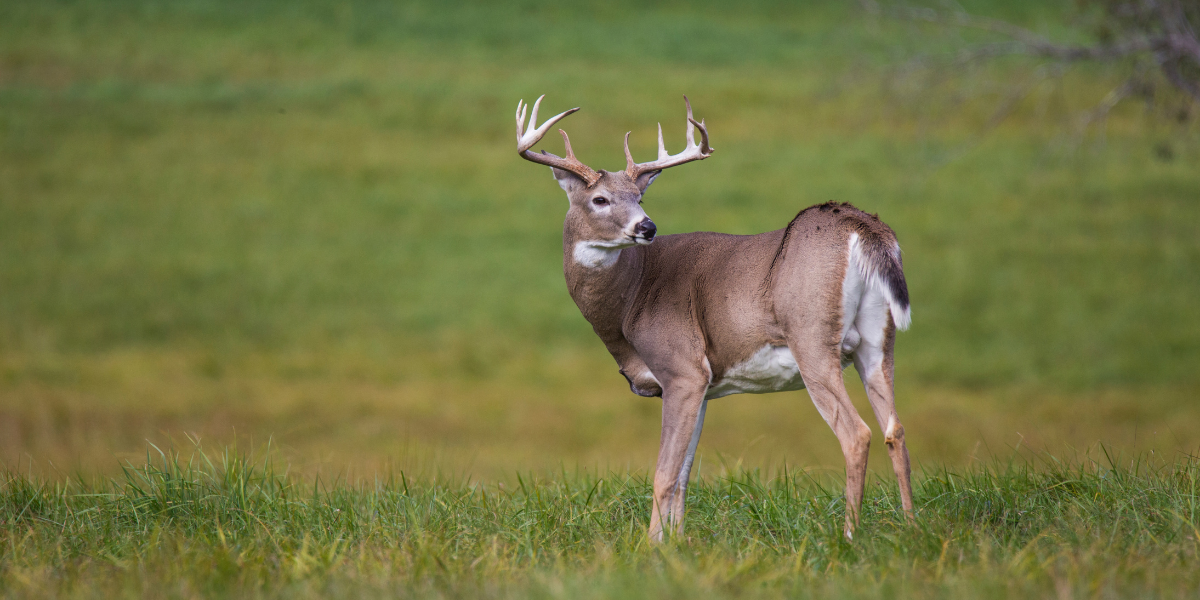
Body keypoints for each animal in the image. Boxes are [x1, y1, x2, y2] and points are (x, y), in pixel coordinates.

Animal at [511, 94, 912, 544]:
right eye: (600, 199)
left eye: (638, 198)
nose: (647, 227)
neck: (630, 299)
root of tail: (863, 228)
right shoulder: (702, 385)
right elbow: (685, 475)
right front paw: (678, 542)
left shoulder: (682, 367)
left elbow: (664, 474)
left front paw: (651, 546)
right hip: (877, 341)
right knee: (895, 429)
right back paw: (913, 525)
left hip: (811, 336)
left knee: (857, 433)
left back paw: (848, 536)